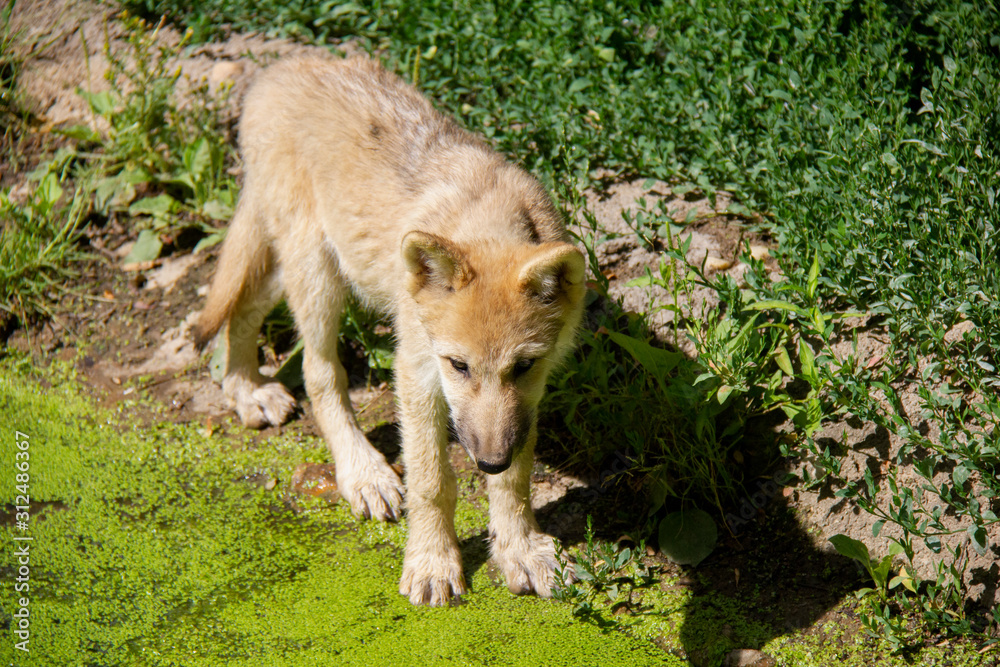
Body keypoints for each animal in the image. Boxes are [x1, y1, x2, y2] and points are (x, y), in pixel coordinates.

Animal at [193, 56, 586, 606]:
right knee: (317, 371)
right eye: (458, 365)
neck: (486, 216)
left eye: (524, 366)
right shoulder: (416, 373)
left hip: (292, 265)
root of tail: (278, 70)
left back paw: (246, 390)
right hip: (318, 274)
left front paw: (520, 550)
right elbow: (432, 481)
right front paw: (432, 562)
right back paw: (363, 474)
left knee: (241, 311)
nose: (487, 462)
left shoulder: (526, 404)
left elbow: (516, 483)